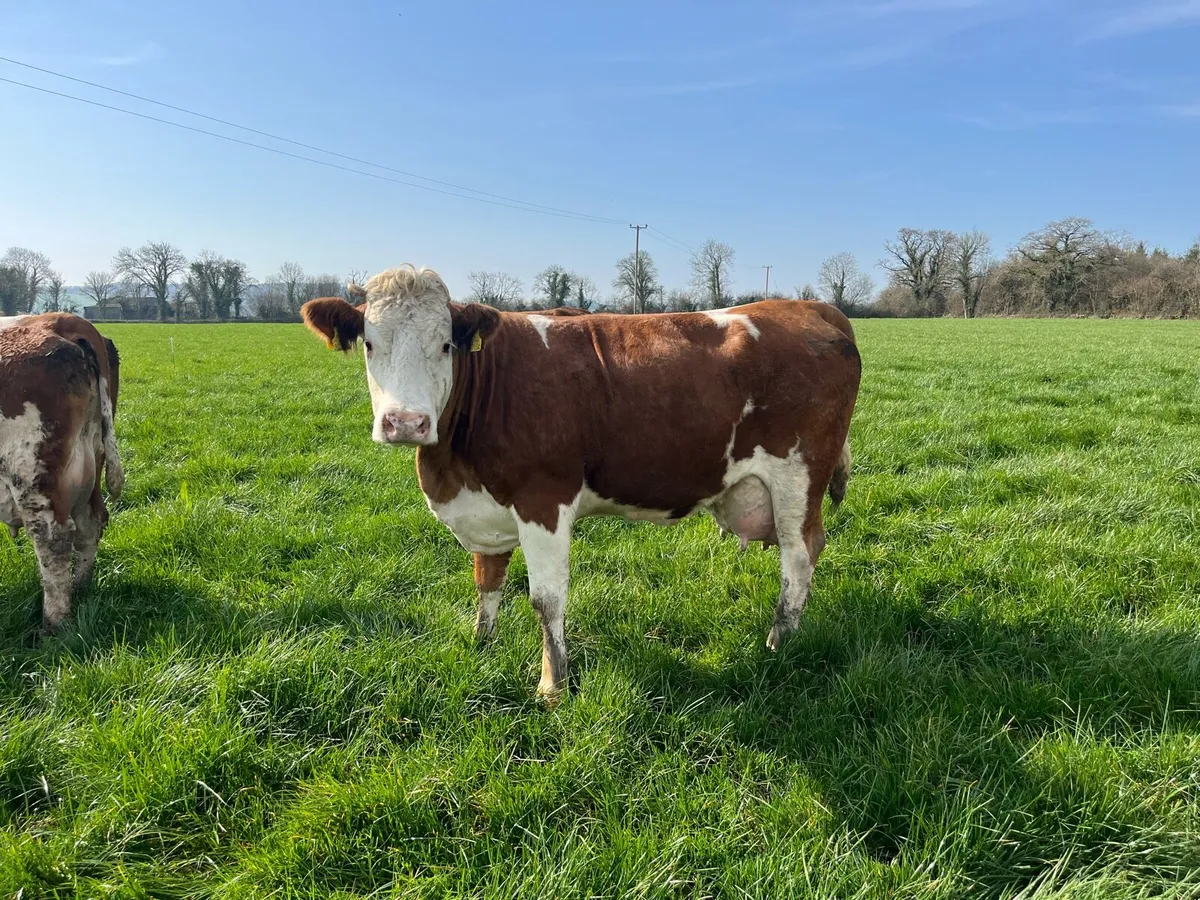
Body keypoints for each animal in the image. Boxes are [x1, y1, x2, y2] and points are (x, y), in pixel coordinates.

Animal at [1, 313, 124, 633]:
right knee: (91, 523)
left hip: (32, 475)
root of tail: (62, 320)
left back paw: (53, 623)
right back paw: (80, 590)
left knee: (52, 540)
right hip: (90, 464)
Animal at [301, 265, 861, 700]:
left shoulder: (543, 499)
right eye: (370, 344)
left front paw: (553, 685)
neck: (452, 467)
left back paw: (780, 641)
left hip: (798, 478)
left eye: (444, 346)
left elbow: (546, 600)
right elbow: (487, 580)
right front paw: (482, 643)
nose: (405, 423)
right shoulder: (485, 509)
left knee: (800, 556)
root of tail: (810, 308)